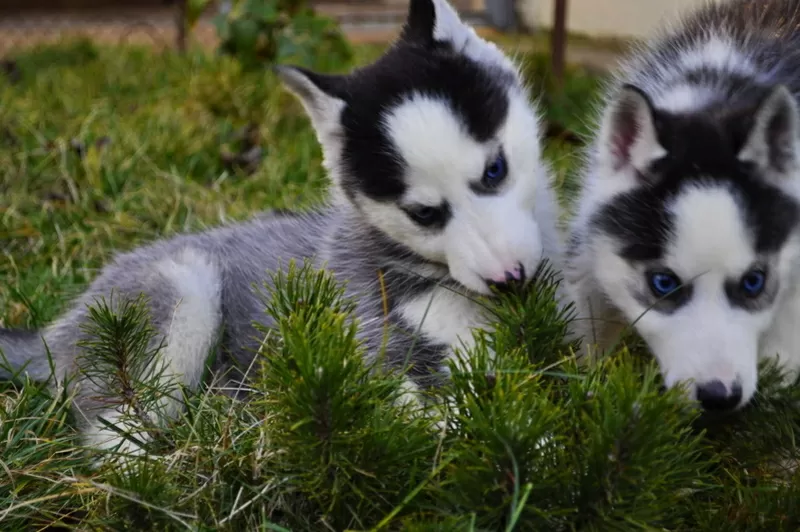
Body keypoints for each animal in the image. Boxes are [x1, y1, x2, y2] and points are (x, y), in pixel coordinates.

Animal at [0, 0, 564, 462]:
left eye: (495, 170)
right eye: (425, 214)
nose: (511, 280)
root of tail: (56, 329)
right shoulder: (377, 363)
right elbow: (456, 420)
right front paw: (539, 444)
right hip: (180, 294)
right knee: (110, 429)